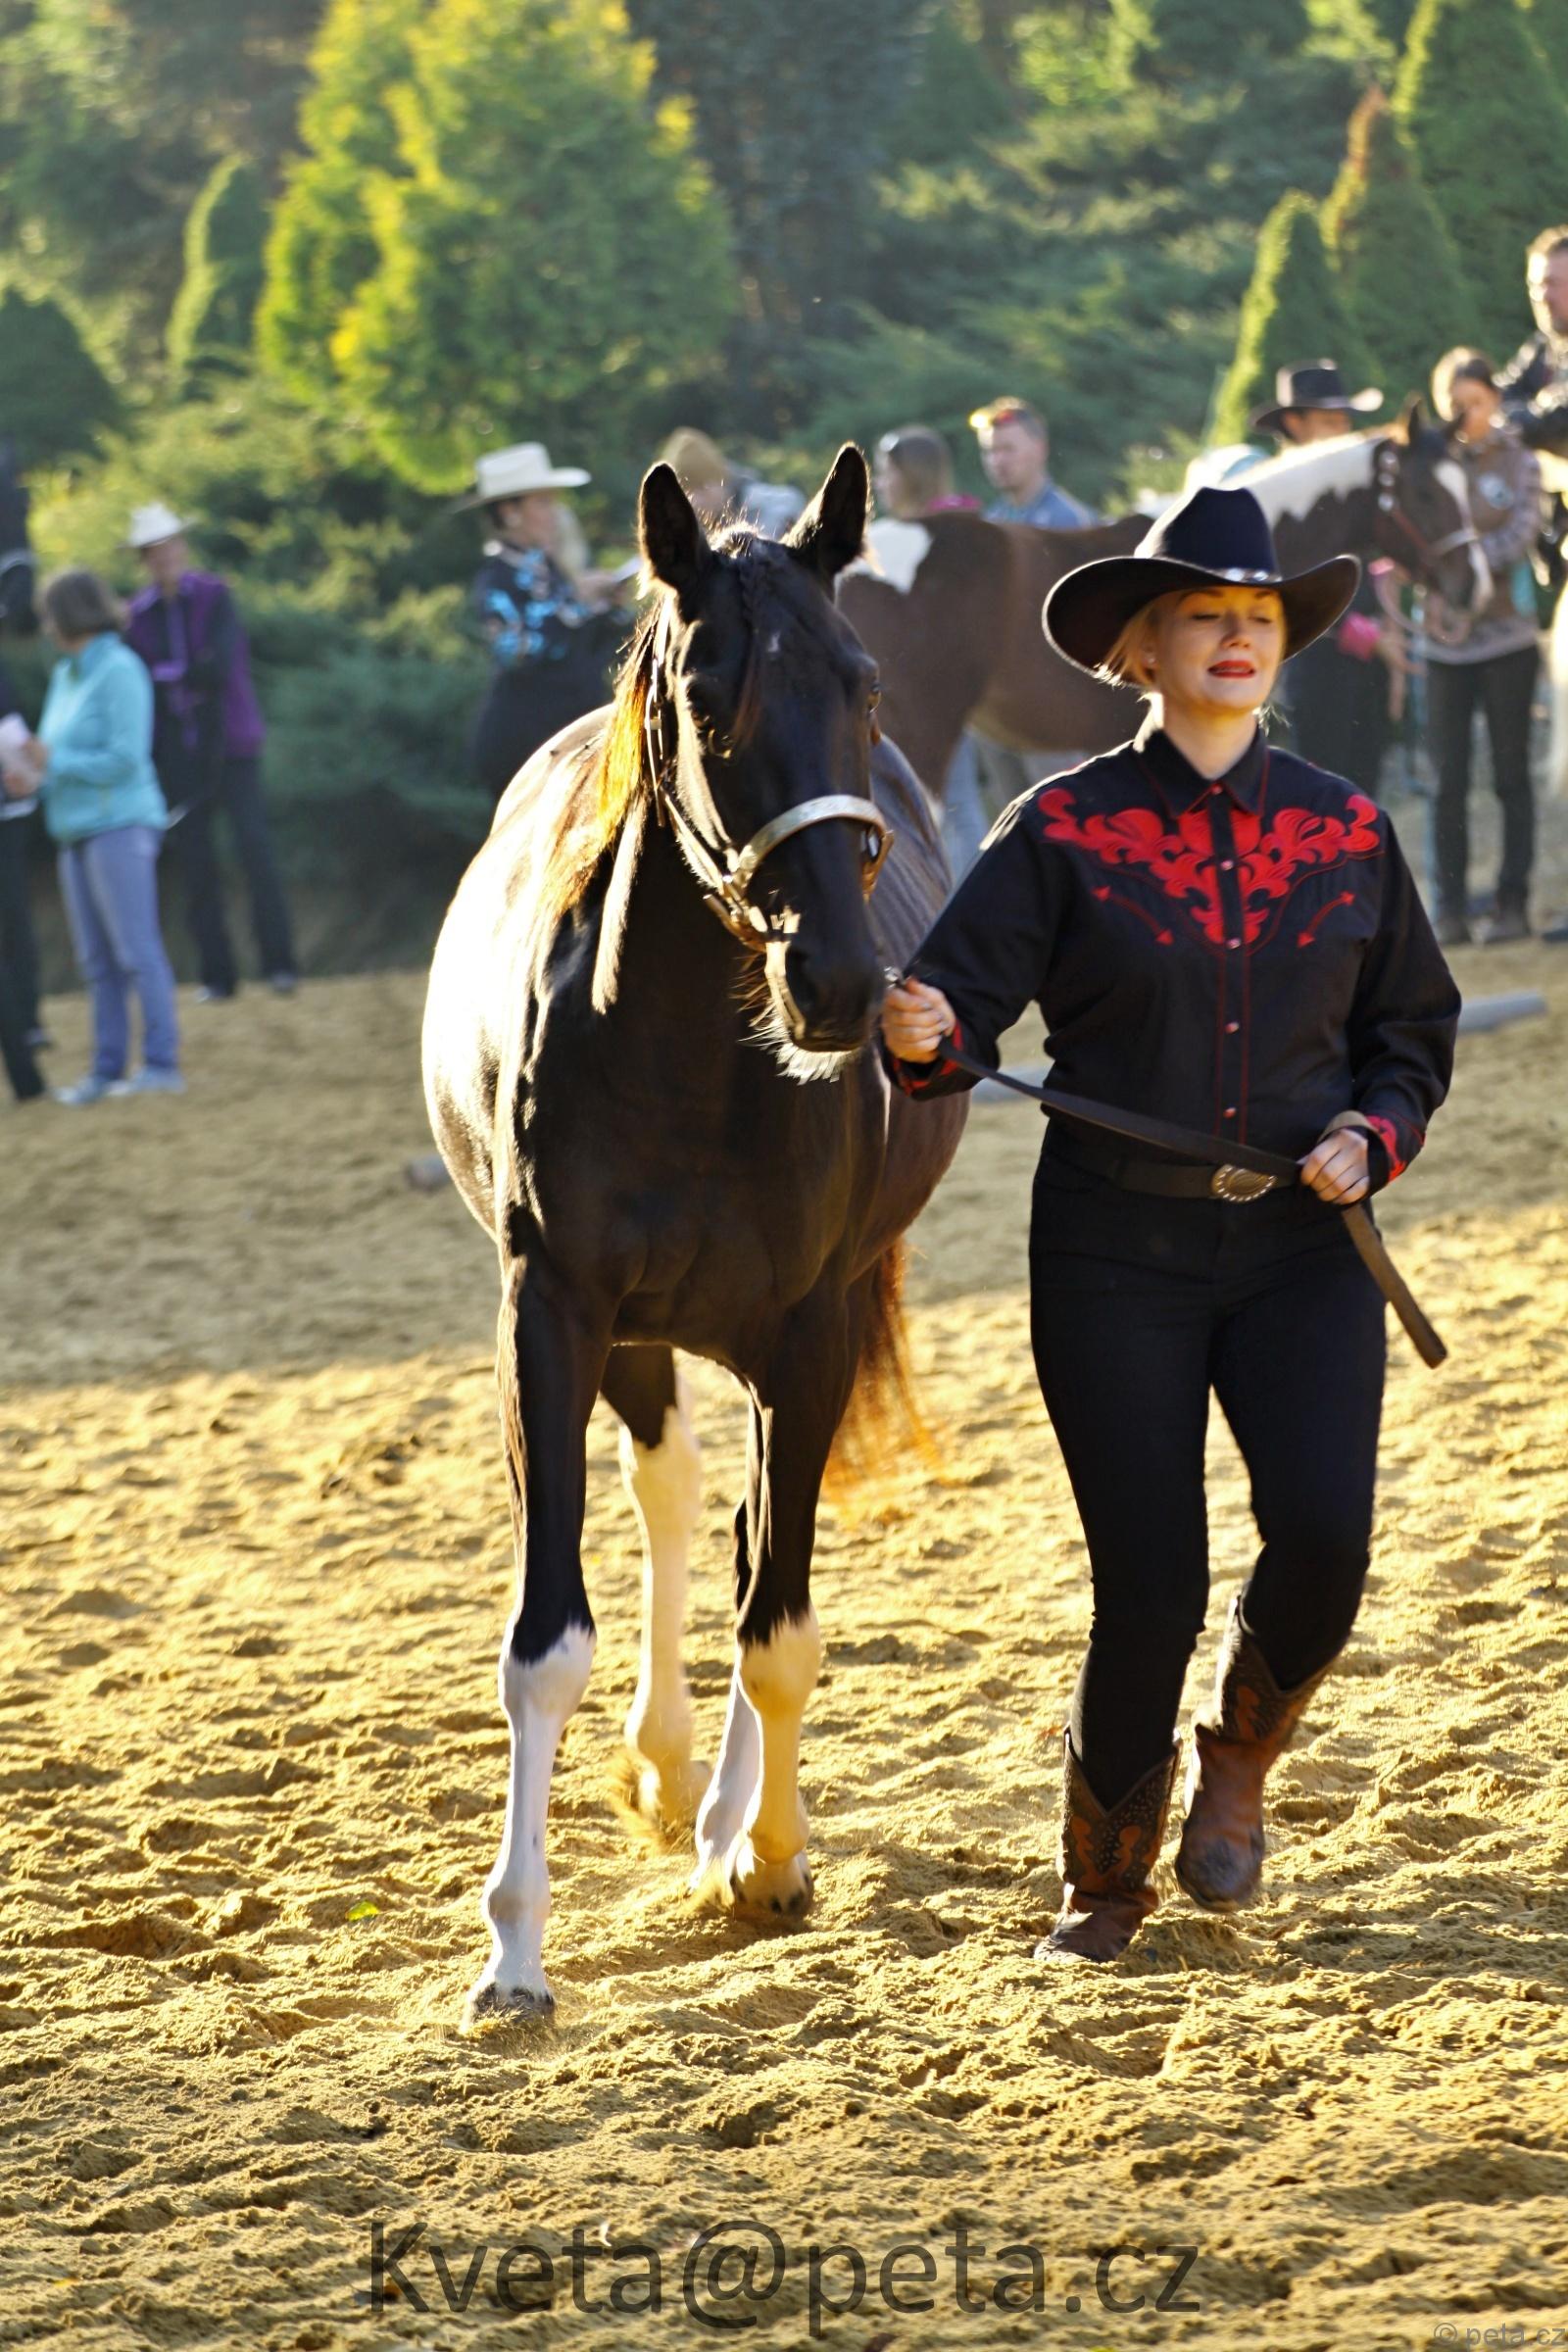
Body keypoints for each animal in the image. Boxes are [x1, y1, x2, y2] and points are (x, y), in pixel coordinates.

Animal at [423, 446, 968, 2021]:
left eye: (862, 683)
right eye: (710, 698)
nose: (840, 986)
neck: (679, 1054)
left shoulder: (812, 1329)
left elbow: (779, 1628)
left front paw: (768, 1858)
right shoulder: (553, 1313)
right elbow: (545, 1643)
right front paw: (514, 1950)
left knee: (743, 1545)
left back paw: (726, 1817)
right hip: (640, 1337)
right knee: (673, 1499)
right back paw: (671, 1770)